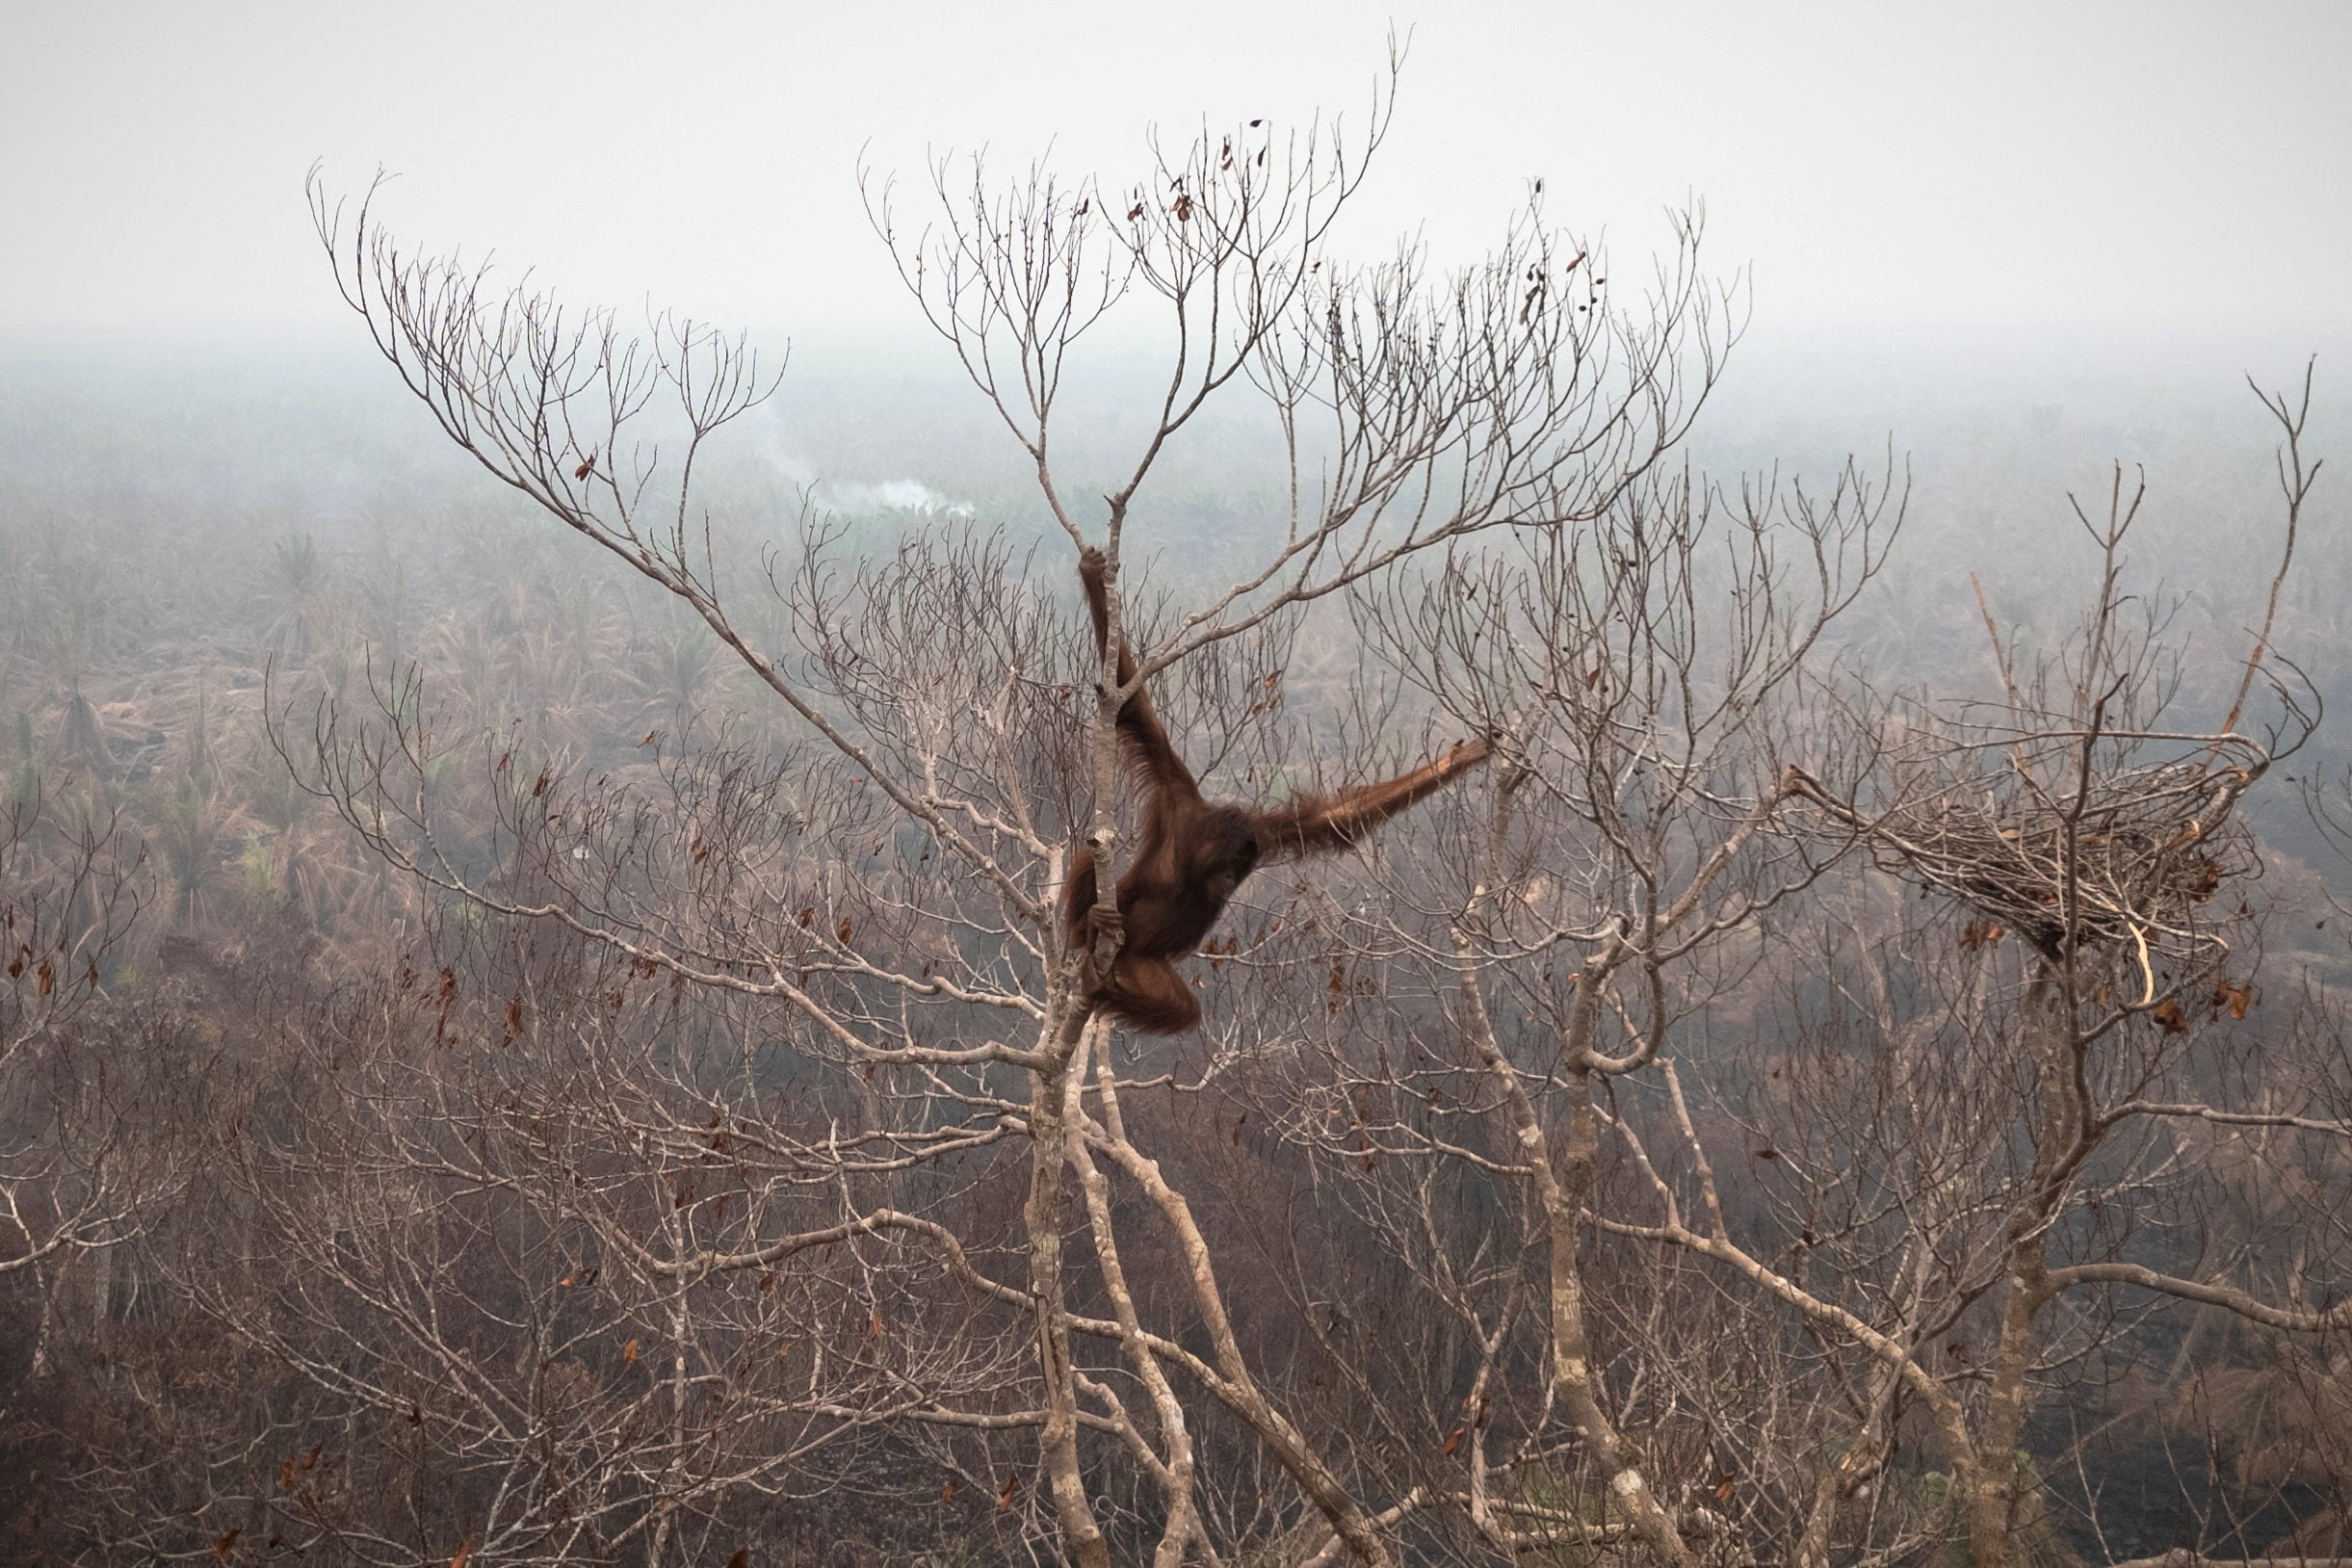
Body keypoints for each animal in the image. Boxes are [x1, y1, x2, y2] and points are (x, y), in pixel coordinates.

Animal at [1062, 546, 1490, 1033]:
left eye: (1243, 867)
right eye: (1230, 864)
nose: (1231, 881)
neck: (1196, 851)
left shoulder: (1265, 832)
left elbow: (1335, 819)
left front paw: (1466, 756)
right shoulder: (1175, 792)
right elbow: (1133, 706)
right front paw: (1092, 573)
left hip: (1139, 964)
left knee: (1181, 1009)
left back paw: (1106, 989)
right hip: (1117, 946)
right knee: (1088, 860)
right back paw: (1091, 924)